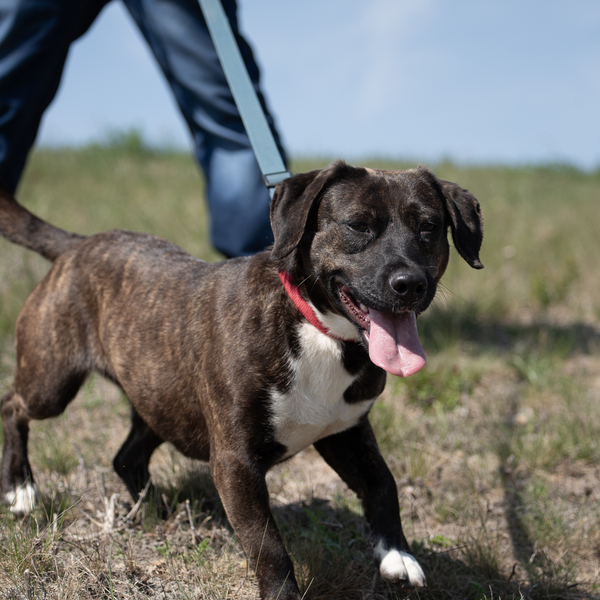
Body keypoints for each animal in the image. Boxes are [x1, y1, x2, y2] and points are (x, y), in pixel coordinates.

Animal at [0, 161, 483, 599]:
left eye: (429, 227)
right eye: (358, 225)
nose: (410, 283)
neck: (319, 328)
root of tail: (77, 245)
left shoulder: (345, 431)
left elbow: (383, 484)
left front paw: (398, 555)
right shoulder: (235, 461)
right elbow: (268, 545)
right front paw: (283, 593)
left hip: (164, 402)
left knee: (126, 456)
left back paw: (155, 511)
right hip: (52, 382)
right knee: (12, 406)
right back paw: (21, 488)